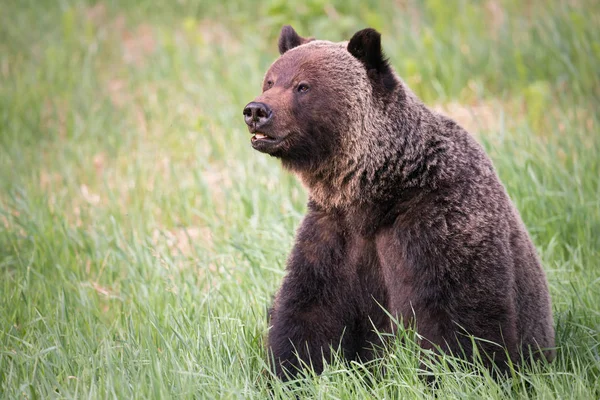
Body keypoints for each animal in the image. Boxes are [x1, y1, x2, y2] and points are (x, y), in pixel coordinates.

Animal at [241, 25, 556, 382]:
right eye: (270, 80)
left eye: (303, 86)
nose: (256, 111)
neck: (377, 193)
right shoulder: (334, 231)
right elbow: (308, 309)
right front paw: (287, 373)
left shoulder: (440, 220)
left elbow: (460, 318)